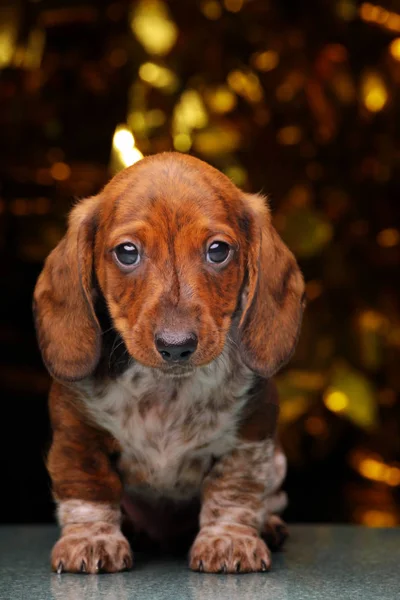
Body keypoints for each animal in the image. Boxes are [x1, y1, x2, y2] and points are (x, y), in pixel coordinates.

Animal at [33, 152, 304, 576]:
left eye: (218, 250)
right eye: (127, 252)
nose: (176, 346)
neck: (165, 390)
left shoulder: (250, 435)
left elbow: (234, 490)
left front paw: (229, 541)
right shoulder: (77, 436)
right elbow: (89, 488)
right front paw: (92, 539)